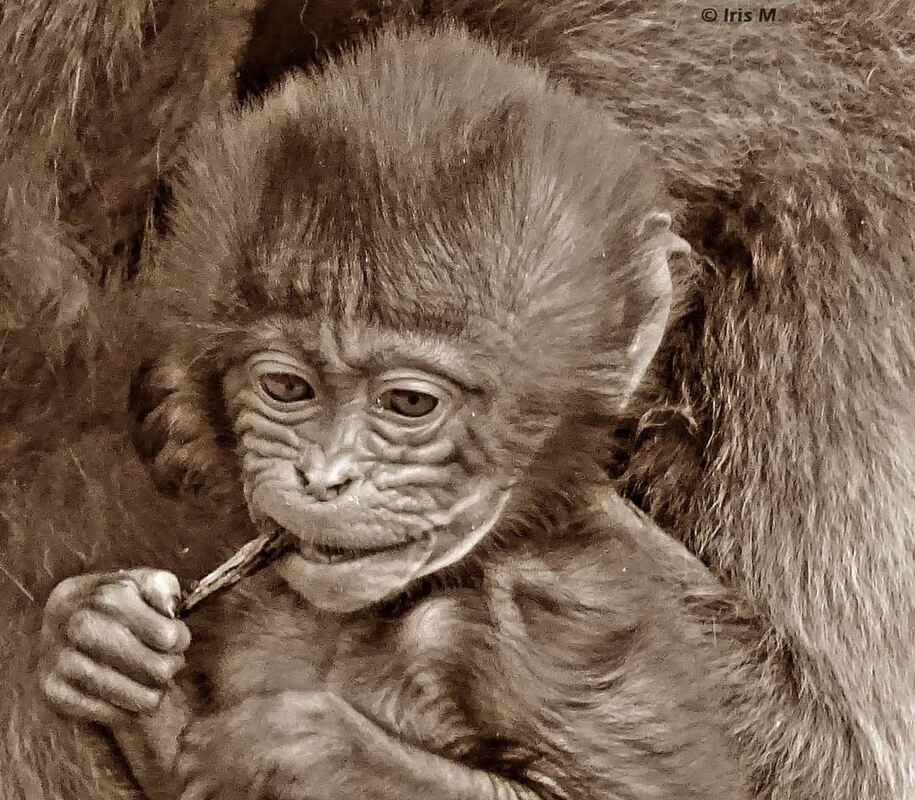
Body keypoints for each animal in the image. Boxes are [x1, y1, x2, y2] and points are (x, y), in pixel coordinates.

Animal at [1, 2, 913, 800]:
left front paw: (296, 752)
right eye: (286, 388)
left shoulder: (564, 622)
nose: (323, 478)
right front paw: (101, 636)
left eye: (410, 405)